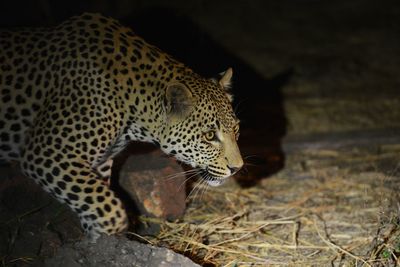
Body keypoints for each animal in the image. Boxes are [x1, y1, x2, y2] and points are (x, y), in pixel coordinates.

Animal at [0, 12, 242, 240]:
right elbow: (109, 209)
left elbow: (95, 200)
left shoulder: (99, 163)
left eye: (236, 130)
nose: (237, 168)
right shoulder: (45, 153)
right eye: (209, 136)